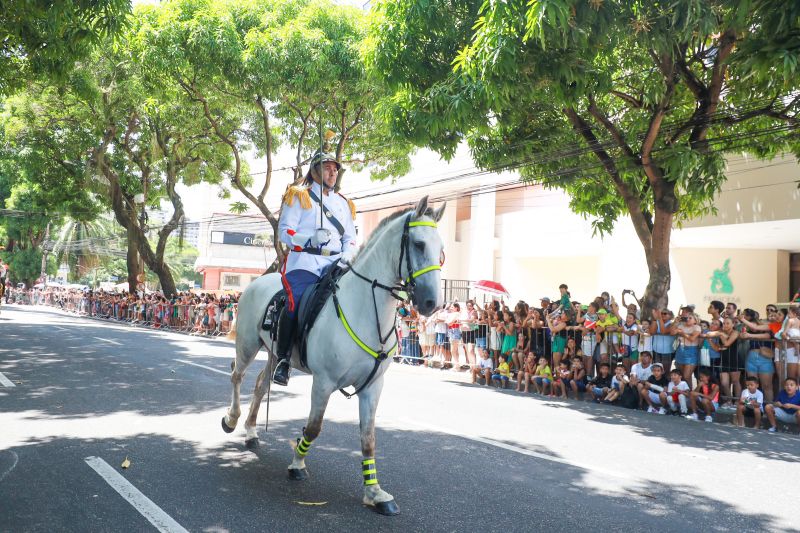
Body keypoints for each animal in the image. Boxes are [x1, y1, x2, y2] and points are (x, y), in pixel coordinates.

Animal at [220, 196, 444, 516]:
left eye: (441, 250)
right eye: (419, 244)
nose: (431, 303)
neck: (366, 308)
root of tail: (259, 282)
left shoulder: (373, 387)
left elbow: (368, 439)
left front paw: (375, 493)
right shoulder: (323, 382)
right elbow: (314, 428)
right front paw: (297, 462)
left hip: (275, 352)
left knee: (261, 384)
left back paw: (251, 431)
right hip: (248, 344)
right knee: (237, 375)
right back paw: (232, 419)